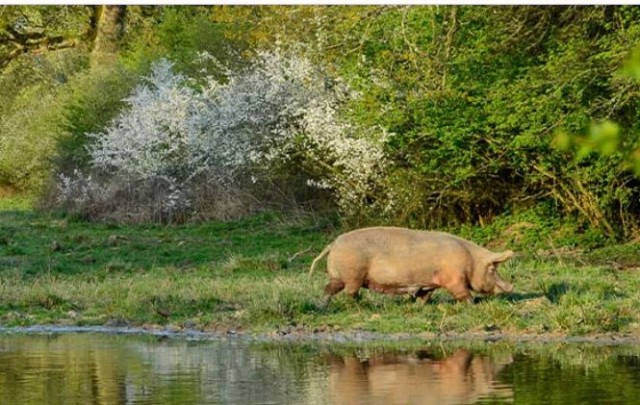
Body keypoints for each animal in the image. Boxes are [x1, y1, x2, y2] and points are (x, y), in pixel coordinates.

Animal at [310, 226, 516, 308]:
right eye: (493, 269)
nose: (511, 287)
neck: (471, 261)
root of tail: (333, 244)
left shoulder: (430, 282)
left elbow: (426, 295)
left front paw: (419, 304)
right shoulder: (454, 278)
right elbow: (462, 292)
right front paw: (472, 304)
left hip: (338, 276)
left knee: (329, 289)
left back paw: (321, 306)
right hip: (353, 275)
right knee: (350, 292)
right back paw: (362, 304)